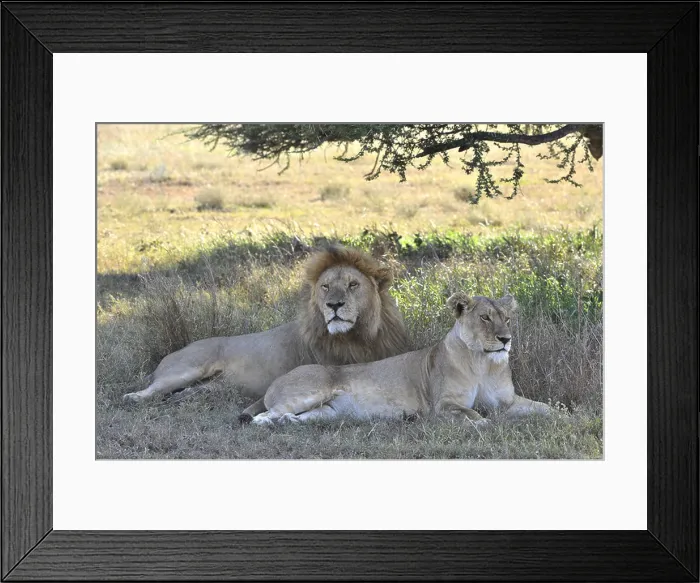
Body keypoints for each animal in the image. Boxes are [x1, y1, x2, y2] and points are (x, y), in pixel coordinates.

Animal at [122, 245, 410, 422]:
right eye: (326, 287)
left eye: (353, 284)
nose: (334, 305)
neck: (356, 337)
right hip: (186, 369)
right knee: (153, 389)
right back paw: (133, 398)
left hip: (207, 387)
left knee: (181, 393)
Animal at [252, 293, 552, 426]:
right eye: (485, 318)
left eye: (507, 319)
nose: (505, 339)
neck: (483, 363)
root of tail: (277, 380)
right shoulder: (442, 405)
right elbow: (474, 414)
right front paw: (484, 423)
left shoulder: (508, 401)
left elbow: (546, 408)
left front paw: (562, 418)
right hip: (310, 391)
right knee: (264, 415)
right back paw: (269, 422)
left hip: (326, 413)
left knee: (296, 416)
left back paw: (288, 422)